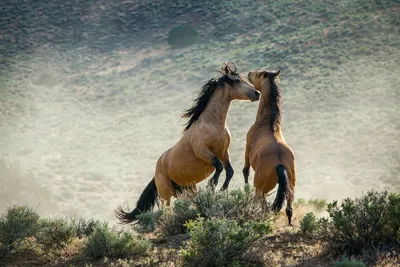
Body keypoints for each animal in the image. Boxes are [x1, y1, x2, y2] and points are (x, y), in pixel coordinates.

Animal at [115, 62, 260, 224]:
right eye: (236, 81)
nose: (257, 93)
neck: (213, 124)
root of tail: (157, 169)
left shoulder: (223, 152)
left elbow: (229, 170)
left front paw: (222, 189)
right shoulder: (203, 151)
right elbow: (219, 166)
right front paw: (212, 185)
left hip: (187, 190)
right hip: (166, 195)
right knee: (167, 210)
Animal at [242, 69, 296, 226]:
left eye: (258, 74)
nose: (249, 73)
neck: (268, 123)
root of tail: (280, 163)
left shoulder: (247, 147)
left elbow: (245, 170)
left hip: (261, 187)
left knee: (261, 202)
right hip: (291, 187)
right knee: (288, 208)